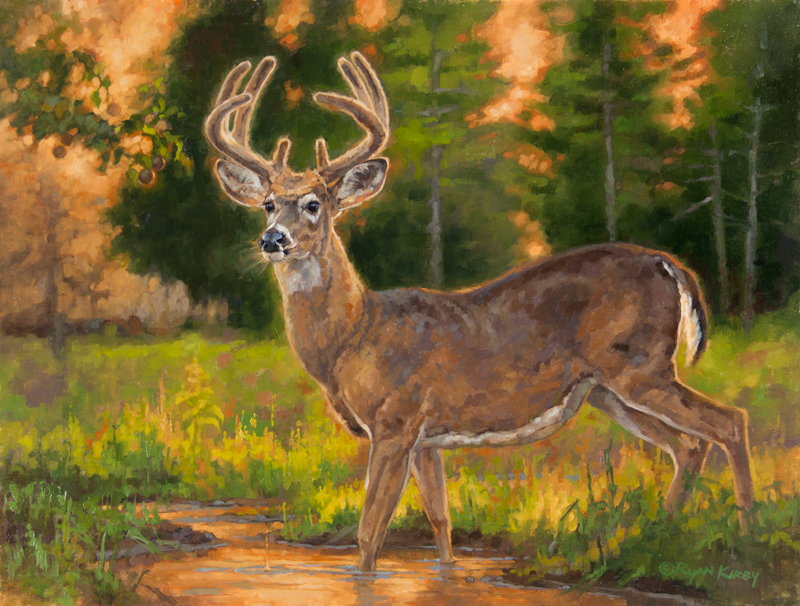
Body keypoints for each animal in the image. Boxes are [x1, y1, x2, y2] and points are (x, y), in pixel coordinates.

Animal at [204, 51, 754, 572]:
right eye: (268, 204)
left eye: (315, 204)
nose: (273, 240)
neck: (355, 336)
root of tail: (667, 262)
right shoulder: (426, 440)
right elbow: (441, 525)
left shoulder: (395, 421)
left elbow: (369, 536)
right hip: (607, 390)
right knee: (689, 446)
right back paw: (658, 533)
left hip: (640, 365)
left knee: (729, 421)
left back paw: (748, 530)